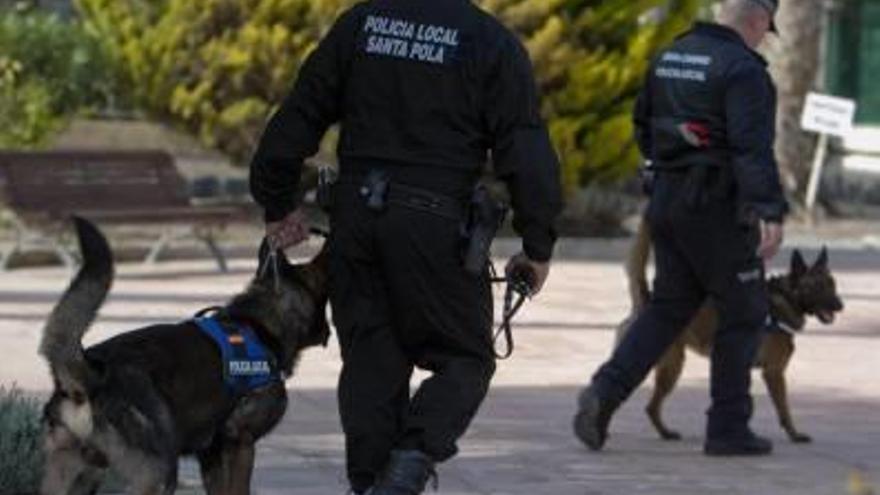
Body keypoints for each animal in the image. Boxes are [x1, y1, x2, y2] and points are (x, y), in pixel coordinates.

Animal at [37, 220, 334, 495]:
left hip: (78, 478)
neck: (259, 324)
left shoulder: (212, 456)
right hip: (159, 476)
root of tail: (91, 373)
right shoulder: (239, 443)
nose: (330, 333)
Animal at [620, 222, 844, 446]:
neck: (785, 300)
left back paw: (660, 432)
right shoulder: (774, 373)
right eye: (817, 286)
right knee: (650, 405)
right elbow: (784, 410)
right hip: (672, 366)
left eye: (832, 284)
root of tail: (647, 299)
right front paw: (794, 435)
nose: (841, 305)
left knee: (648, 405)